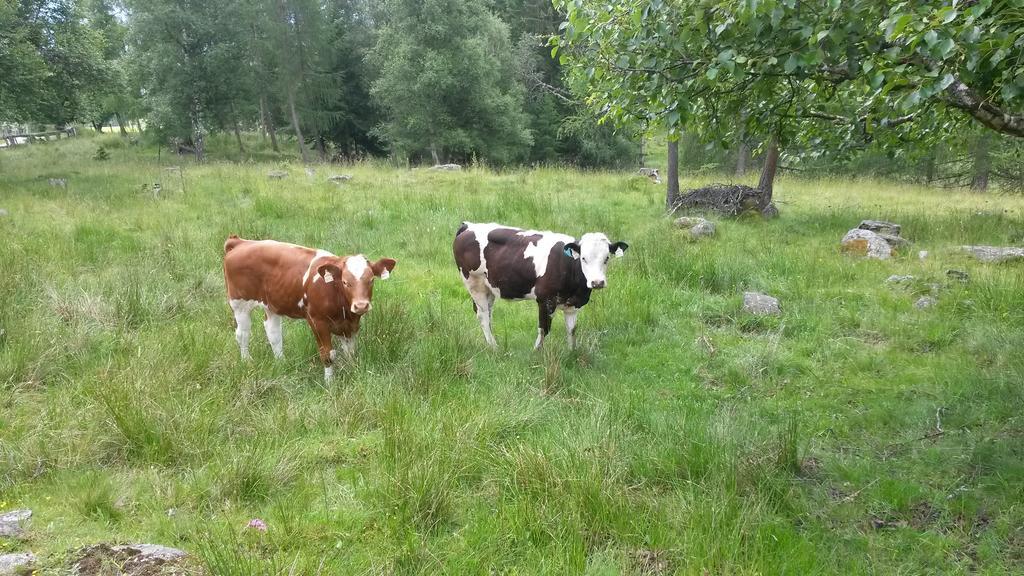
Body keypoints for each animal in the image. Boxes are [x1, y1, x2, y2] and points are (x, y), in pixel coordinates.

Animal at [223, 235, 395, 379]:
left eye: (371, 280)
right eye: (345, 282)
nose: (361, 305)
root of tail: (240, 242)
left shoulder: (351, 324)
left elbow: (350, 351)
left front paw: (353, 373)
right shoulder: (317, 321)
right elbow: (327, 354)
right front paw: (329, 383)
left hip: (272, 305)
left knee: (273, 333)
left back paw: (282, 363)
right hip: (239, 304)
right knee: (243, 334)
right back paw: (247, 361)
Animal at [454, 220, 626, 348]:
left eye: (607, 258)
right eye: (583, 258)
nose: (597, 282)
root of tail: (468, 226)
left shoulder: (573, 304)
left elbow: (572, 330)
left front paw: (572, 354)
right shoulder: (545, 299)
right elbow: (544, 329)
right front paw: (536, 354)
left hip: (489, 287)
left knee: (489, 314)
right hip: (474, 283)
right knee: (482, 314)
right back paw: (494, 347)